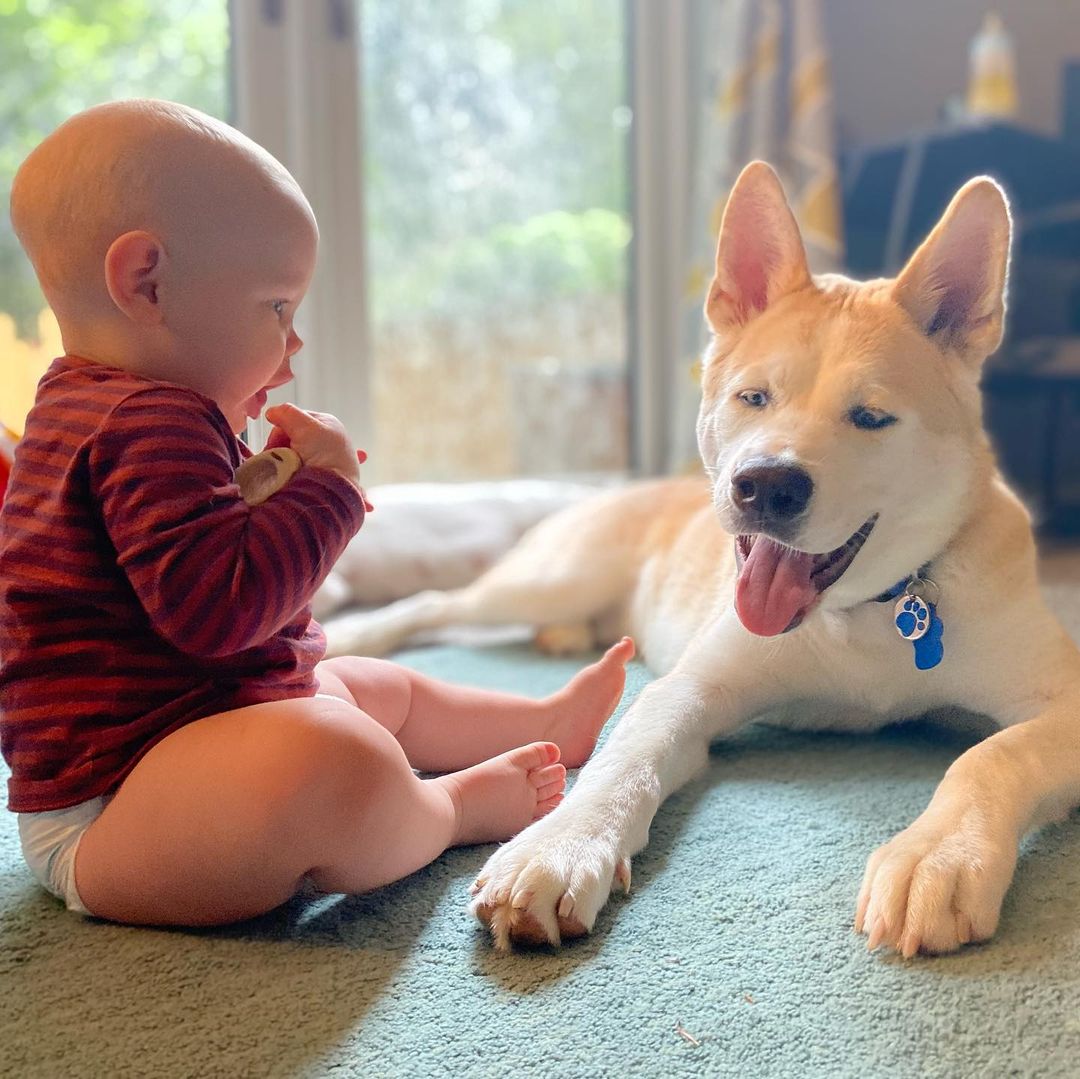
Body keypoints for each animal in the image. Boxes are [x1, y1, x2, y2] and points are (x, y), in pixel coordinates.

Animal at [326, 164, 1080, 959]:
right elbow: (629, 753)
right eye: (754, 396)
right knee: (439, 604)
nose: (766, 486)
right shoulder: (692, 689)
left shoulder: (1063, 700)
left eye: (871, 417)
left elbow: (992, 755)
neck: (872, 615)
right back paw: (353, 636)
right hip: (554, 577)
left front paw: (940, 853)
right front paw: (560, 844)